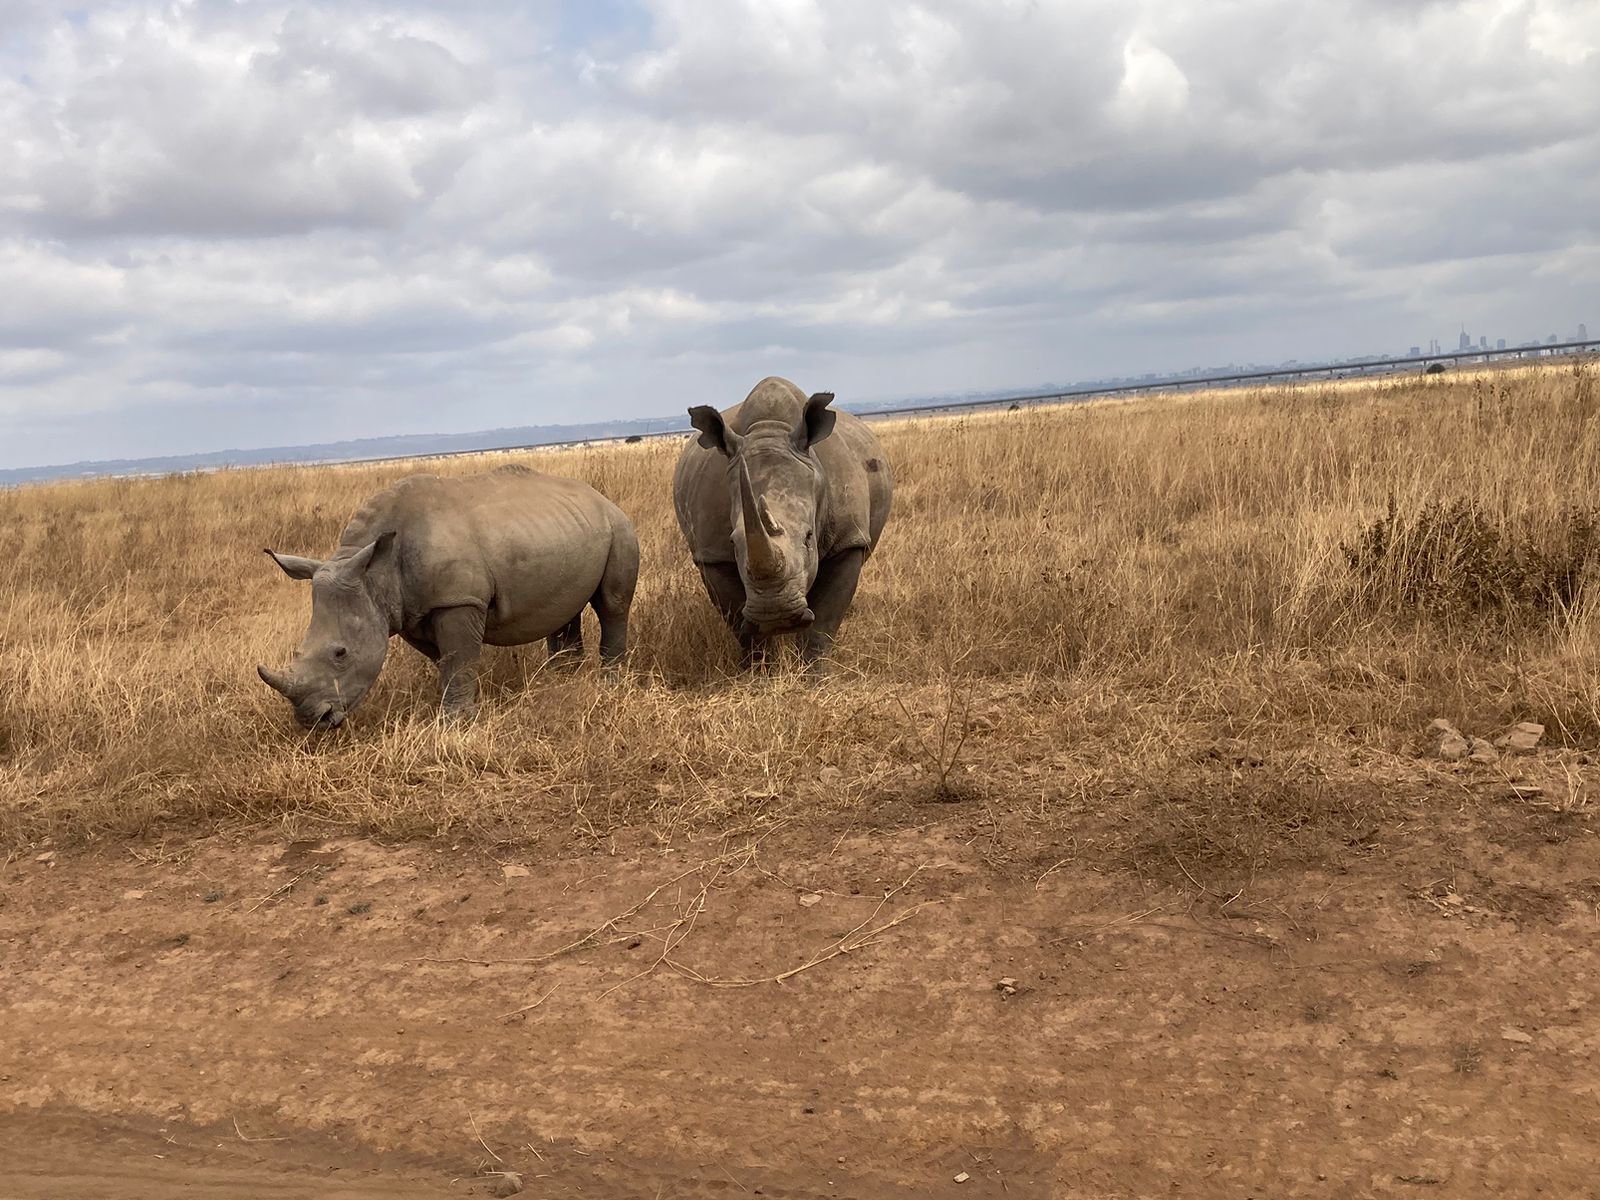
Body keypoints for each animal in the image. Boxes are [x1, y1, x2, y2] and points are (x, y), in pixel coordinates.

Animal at [258, 466, 638, 727]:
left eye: (341, 653)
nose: (312, 719)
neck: (375, 575)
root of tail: (602, 498)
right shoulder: (408, 610)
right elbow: (447, 660)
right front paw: (465, 707)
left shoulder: (457, 600)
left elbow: (458, 657)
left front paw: (455, 723)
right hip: (566, 528)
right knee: (565, 610)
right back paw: (562, 679)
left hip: (619, 528)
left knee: (612, 606)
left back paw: (610, 682)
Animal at [673, 376, 892, 668]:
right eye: (733, 542)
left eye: (809, 537)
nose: (775, 615)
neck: (771, 427)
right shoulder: (712, 554)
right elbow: (741, 624)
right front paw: (761, 670)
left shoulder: (848, 539)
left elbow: (823, 622)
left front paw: (814, 672)